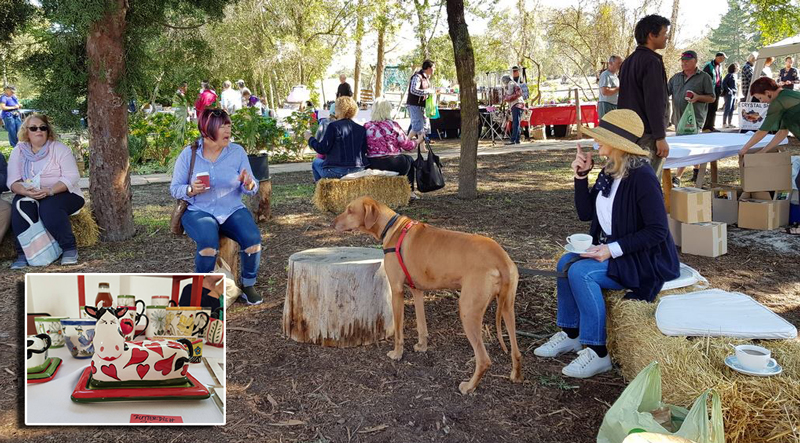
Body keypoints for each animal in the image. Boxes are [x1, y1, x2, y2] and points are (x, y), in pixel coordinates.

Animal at [332, 198, 524, 396]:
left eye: (350, 210)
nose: (332, 223)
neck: (392, 228)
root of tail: (501, 257)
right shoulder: (417, 291)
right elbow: (421, 325)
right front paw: (422, 347)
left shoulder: (397, 291)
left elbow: (399, 332)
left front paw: (397, 354)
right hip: (507, 308)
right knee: (517, 351)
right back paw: (516, 375)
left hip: (468, 311)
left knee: (484, 360)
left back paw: (469, 386)